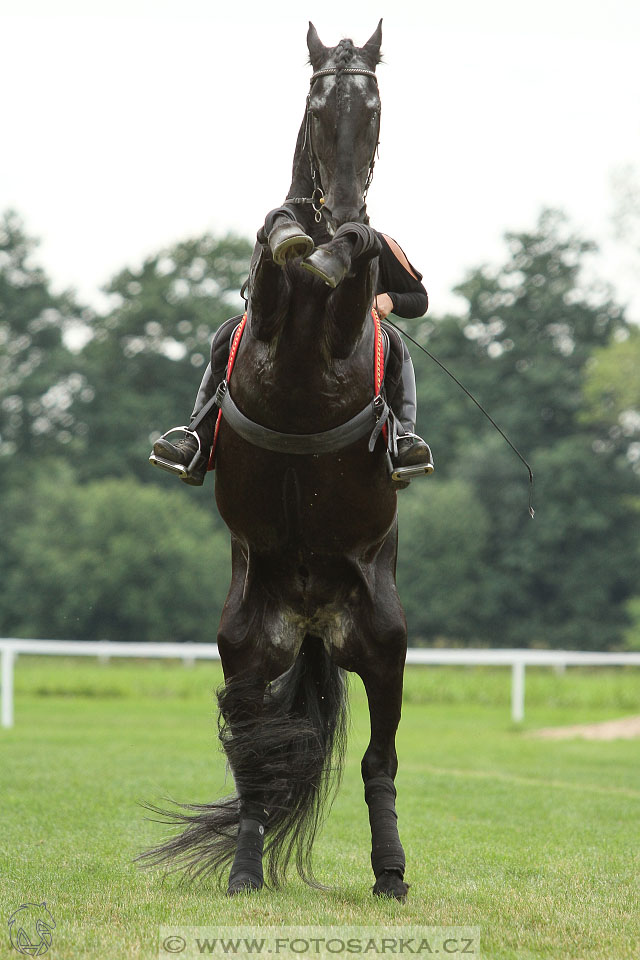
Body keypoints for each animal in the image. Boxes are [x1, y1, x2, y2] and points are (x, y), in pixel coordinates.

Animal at [140, 24, 410, 908]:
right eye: (319, 108)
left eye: (375, 109)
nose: (346, 208)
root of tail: (314, 618)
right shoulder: (261, 316)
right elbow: (270, 246)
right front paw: (295, 233)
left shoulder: (351, 317)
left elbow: (356, 269)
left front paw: (338, 248)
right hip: (246, 645)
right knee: (256, 757)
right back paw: (246, 872)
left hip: (384, 642)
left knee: (379, 759)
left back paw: (391, 874)